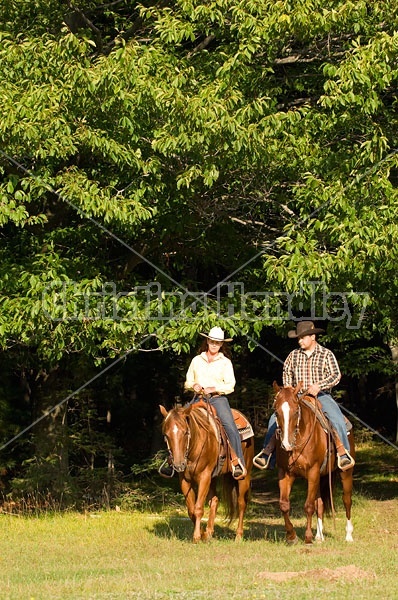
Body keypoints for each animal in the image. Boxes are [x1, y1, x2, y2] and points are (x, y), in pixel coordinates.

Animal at [158, 406, 252, 540]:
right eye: (166, 435)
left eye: (185, 432)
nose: (178, 464)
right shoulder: (185, 480)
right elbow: (191, 510)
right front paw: (202, 534)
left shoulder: (204, 477)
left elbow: (198, 508)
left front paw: (197, 536)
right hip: (213, 478)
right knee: (215, 500)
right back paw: (209, 532)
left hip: (244, 476)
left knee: (241, 503)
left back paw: (238, 536)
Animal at [274, 384, 354, 544]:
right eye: (276, 412)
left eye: (296, 411)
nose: (286, 444)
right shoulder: (285, 473)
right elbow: (284, 504)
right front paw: (291, 536)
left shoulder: (313, 472)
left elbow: (309, 506)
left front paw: (308, 537)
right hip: (320, 477)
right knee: (320, 504)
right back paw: (320, 535)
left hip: (345, 472)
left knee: (347, 500)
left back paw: (348, 535)